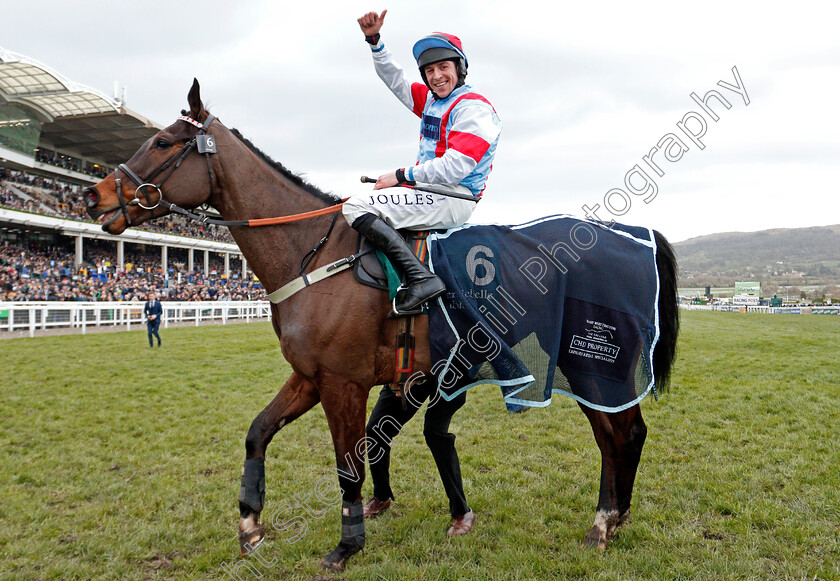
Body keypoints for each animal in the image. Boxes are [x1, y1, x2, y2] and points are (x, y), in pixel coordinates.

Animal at [82, 80, 680, 572]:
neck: (314, 251)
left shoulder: (342, 383)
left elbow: (348, 467)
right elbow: (258, 431)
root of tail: (635, 235)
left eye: (163, 143)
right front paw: (250, 524)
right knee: (624, 435)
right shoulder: (311, 377)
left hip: (593, 364)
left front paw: (347, 545)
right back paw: (615, 518)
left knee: (618, 434)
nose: (95, 194)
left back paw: (603, 521)